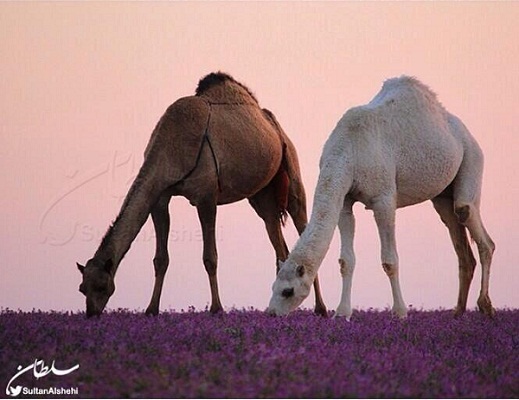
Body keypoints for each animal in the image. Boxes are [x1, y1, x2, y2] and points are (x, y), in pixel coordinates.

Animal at [77, 71, 328, 316]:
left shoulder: (206, 196)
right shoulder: (160, 196)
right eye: (82, 288)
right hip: (262, 194)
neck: (171, 146)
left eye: (102, 286)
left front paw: (217, 309)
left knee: (301, 220)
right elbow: (161, 258)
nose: (91, 314)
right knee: (278, 240)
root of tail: (273, 125)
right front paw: (151, 310)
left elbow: (210, 257)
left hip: (291, 170)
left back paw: (321, 309)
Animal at [268, 75, 496, 318]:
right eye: (273, 287)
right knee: (458, 236)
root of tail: (462, 129)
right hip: (442, 196)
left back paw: (486, 306)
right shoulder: (344, 199)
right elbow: (345, 261)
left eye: (288, 291)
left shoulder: (384, 199)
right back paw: (458, 312)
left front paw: (400, 312)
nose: (270, 313)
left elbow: (389, 261)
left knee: (470, 216)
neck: (348, 150)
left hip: (472, 156)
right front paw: (342, 313)